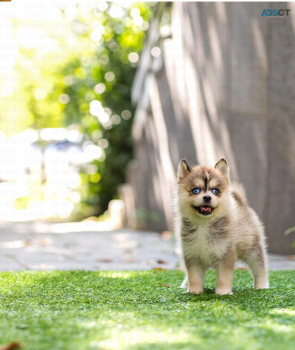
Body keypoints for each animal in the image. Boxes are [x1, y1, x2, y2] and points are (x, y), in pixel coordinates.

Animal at [175, 157, 270, 294]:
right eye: (196, 190)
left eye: (215, 191)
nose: (207, 197)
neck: (203, 224)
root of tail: (242, 203)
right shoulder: (192, 256)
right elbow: (194, 277)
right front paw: (194, 292)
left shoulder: (225, 254)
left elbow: (224, 277)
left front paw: (223, 292)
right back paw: (185, 284)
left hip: (252, 249)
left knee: (260, 268)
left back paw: (262, 286)